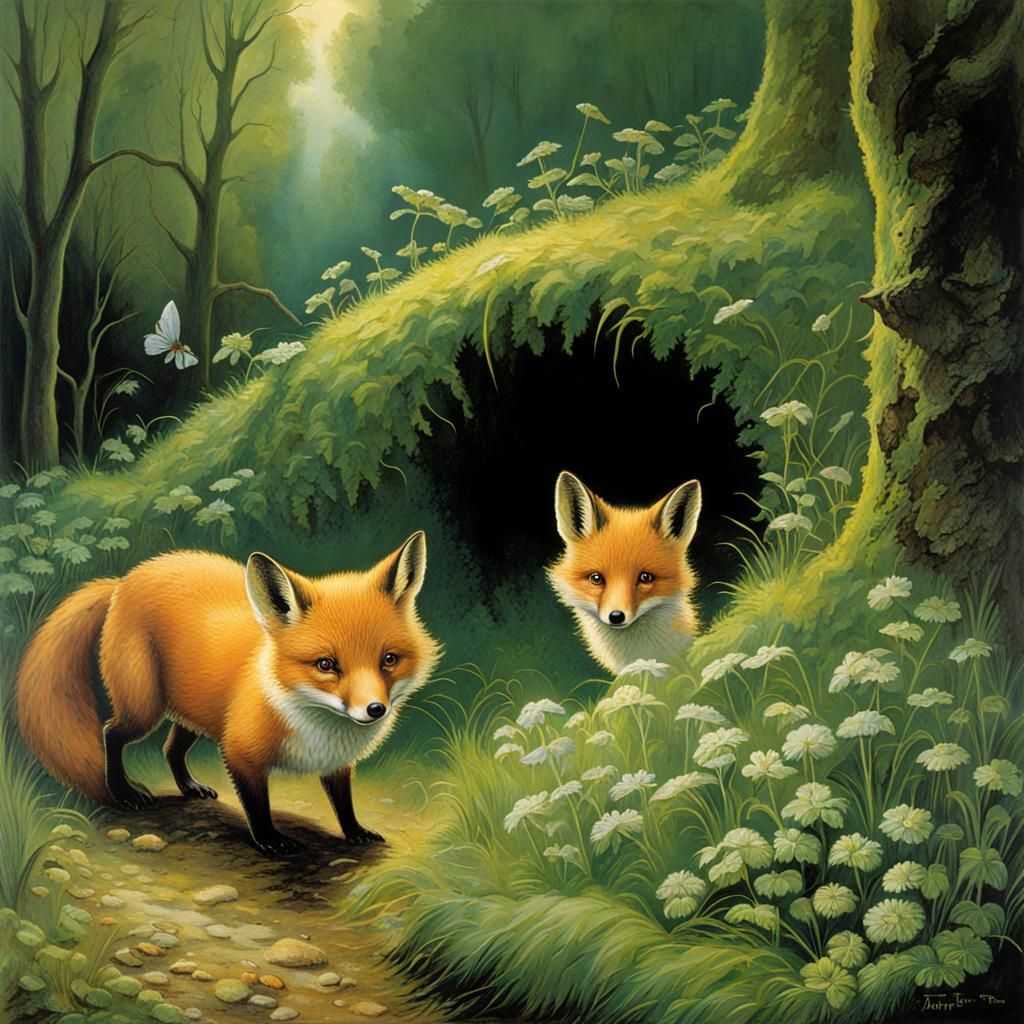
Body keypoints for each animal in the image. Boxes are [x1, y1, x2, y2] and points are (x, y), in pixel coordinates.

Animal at [16, 534, 439, 855]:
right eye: (326, 665)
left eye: (388, 660)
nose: (374, 709)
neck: (317, 724)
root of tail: (125, 579)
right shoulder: (240, 751)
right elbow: (257, 804)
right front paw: (269, 839)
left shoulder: (336, 763)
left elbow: (343, 802)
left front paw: (355, 831)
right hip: (145, 708)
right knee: (111, 733)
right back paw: (123, 791)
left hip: (193, 712)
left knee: (170, 748)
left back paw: (190, 788)